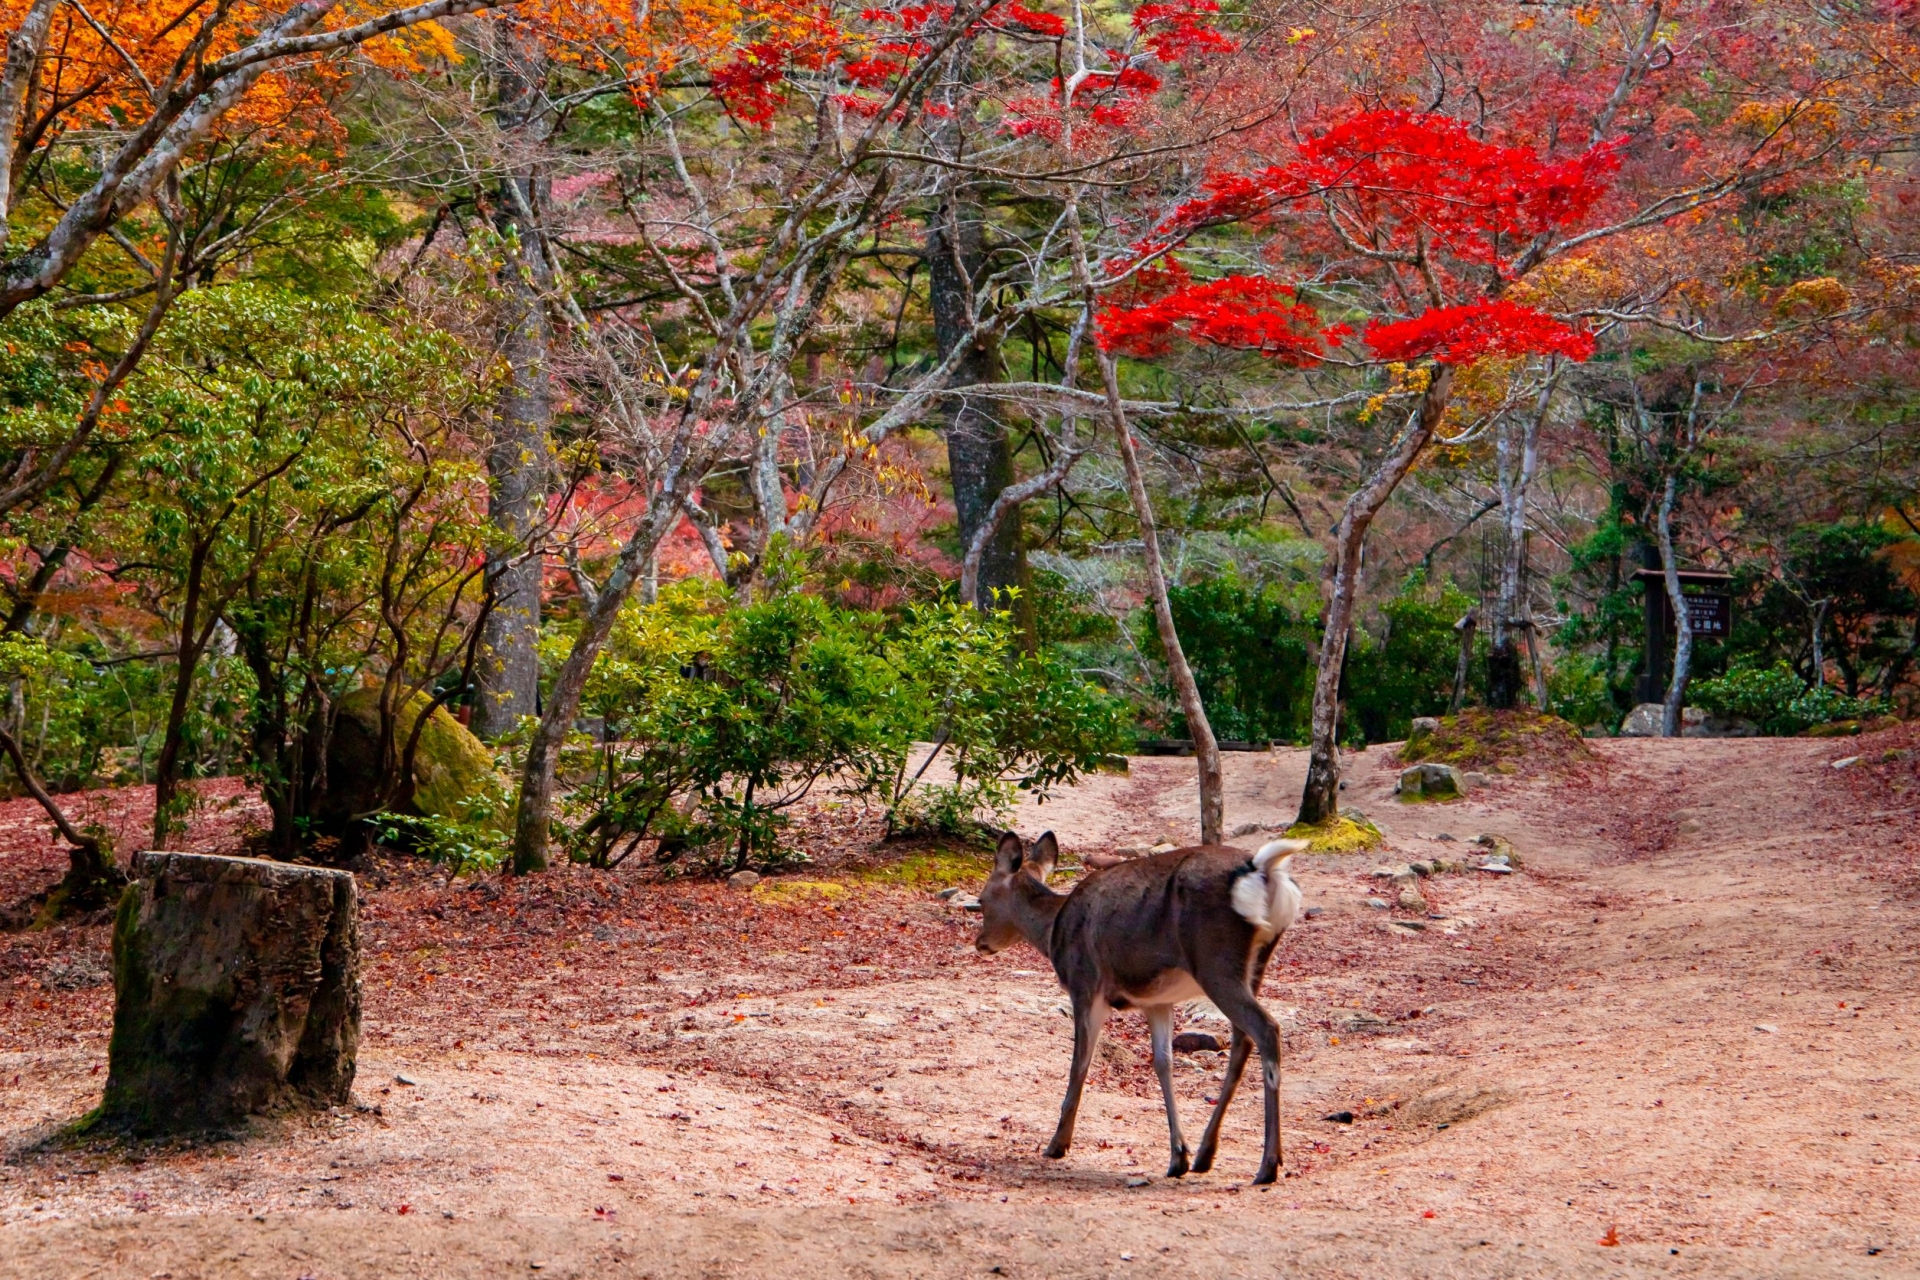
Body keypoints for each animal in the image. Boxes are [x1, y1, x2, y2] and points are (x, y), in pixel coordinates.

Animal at [975, 832, 1305, 1182]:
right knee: (1242, 1042)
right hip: (1255, 965)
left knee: (1266, 1029)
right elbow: (1163, 1062)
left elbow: (1080, 1064)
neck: (1053, 932)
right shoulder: (1157, 1000)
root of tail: (1261, 869)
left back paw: (1268, 1164)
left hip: (1215, 961)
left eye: (981, 900)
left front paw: (1057, 1144)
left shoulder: (1085, 984)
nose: (980, 943)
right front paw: (1178, 1156)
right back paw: (1205, 1154)